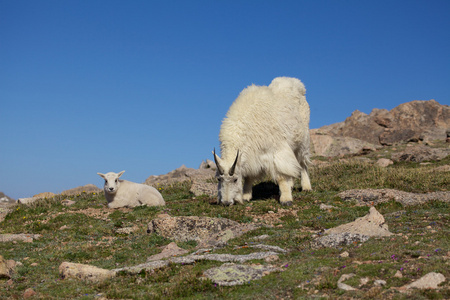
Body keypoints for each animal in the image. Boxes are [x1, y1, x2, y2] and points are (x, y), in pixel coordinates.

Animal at [213, 76, 312, 205]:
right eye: (219, 179)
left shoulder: (276, 150)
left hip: (303, 139)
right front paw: (246, 195)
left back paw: (306, 186)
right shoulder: (253, 156)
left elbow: (281, 175)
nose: (226, 203)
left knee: (302, 163)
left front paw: (286, 199)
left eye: (235, 179)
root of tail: (297, 83)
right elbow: (249, 176)